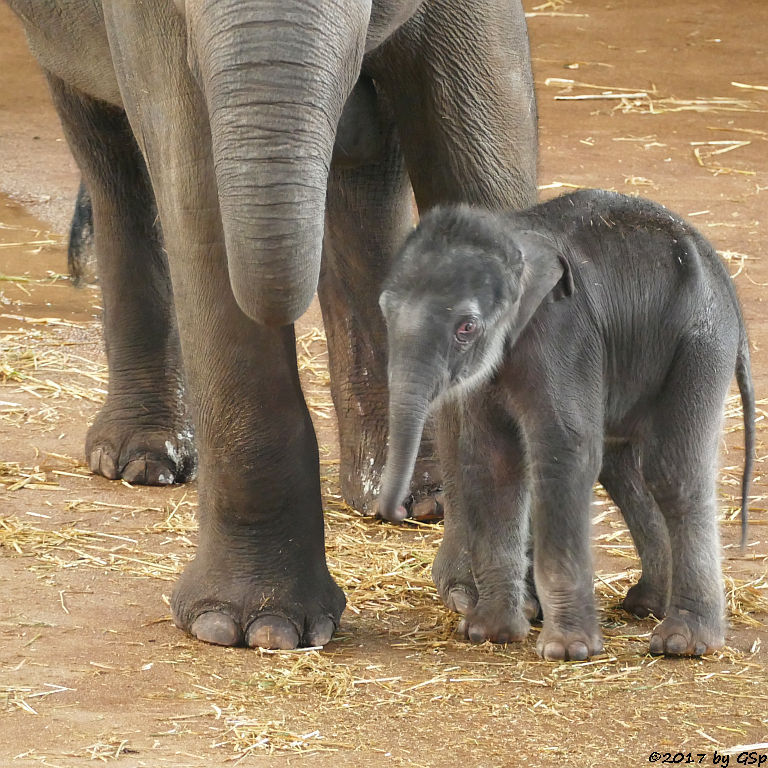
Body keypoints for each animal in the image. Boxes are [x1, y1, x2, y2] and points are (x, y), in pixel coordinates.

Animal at [7, 0, 536, 648]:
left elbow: (489, 145)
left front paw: (505, 606)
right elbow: (195, 179)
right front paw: (251, 630)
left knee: (365, 174)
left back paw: (413, 498)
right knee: (108, 151)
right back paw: (140, 462)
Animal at [380, 190, 752, 660]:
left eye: (467, 327)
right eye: (384, 312)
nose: (401, 510)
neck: (513, 238)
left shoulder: (563, 337)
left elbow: (565, 454)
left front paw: (567, 651)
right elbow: (494, 463)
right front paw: (489, 633)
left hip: (701, 343)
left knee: (673, 473)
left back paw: (681, 643)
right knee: (623, 468)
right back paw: (645, 604)